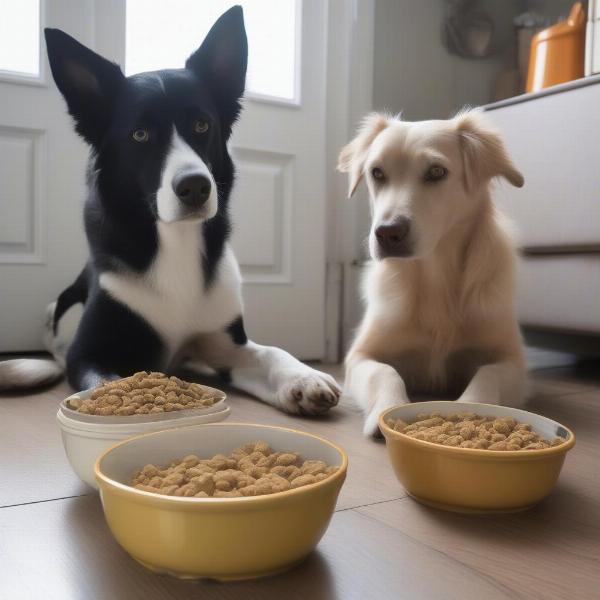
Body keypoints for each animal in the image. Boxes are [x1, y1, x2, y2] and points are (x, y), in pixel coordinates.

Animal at [0, 7, 338, 414]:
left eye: (202, 124)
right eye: (140, 135)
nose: (195, 187)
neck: (174, 241)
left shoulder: (226, 345)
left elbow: (270, 352)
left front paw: (304, 377)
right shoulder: (88, 354)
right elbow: (105, 384)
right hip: (58, 311)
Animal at [340, 110, 528, 436]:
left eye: (437, 172)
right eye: (377, 173)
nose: (387, 233)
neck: (436, 274)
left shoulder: (512, 361)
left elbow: (487, 372)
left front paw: (471, 408)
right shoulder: (360, 356)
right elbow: (384, 371)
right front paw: (388, 410)